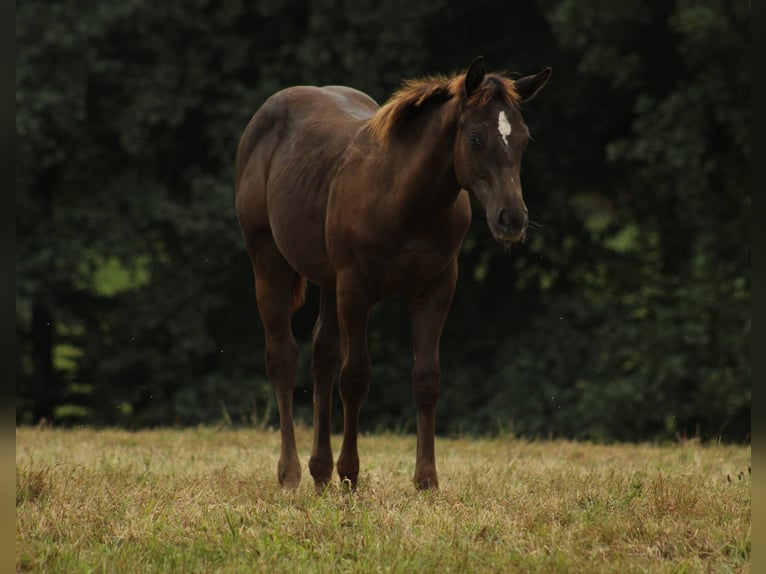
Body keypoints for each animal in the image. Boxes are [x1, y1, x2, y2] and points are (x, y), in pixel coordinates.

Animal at [236, 56, 552, 492]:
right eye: (475, 138)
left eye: (523, 139)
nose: (512, 219)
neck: (406, 201)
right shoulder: (355, 288)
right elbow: (355, 377)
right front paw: (350, 474)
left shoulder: (436, 288)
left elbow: (426, 378)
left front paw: (426, 480)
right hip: (269, 260)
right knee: (283, 357)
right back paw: (291, 473)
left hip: (327, 280)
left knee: (322, 356)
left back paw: (320, 472)